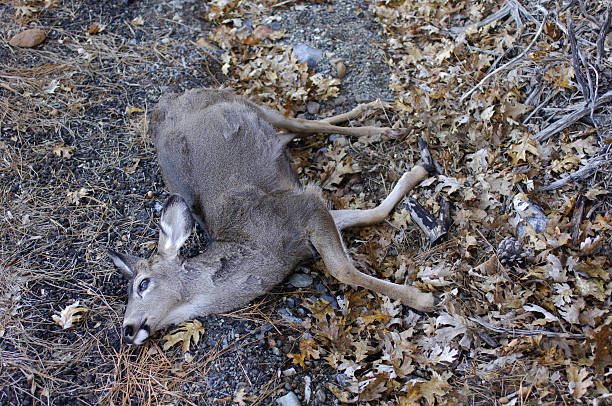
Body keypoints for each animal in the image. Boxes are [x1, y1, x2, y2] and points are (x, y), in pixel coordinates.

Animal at [107, 89, 438, 346]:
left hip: (244, 100)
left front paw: (421, 299)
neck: (263, 252)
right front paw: (417, 171)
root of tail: (167, 102)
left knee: (302, 122)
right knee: (293, 132)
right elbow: (372, 213)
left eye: (142, 284)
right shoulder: (307, 219)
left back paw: (383, 125)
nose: (127, 329)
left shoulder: (303, 208)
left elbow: (341, 269)